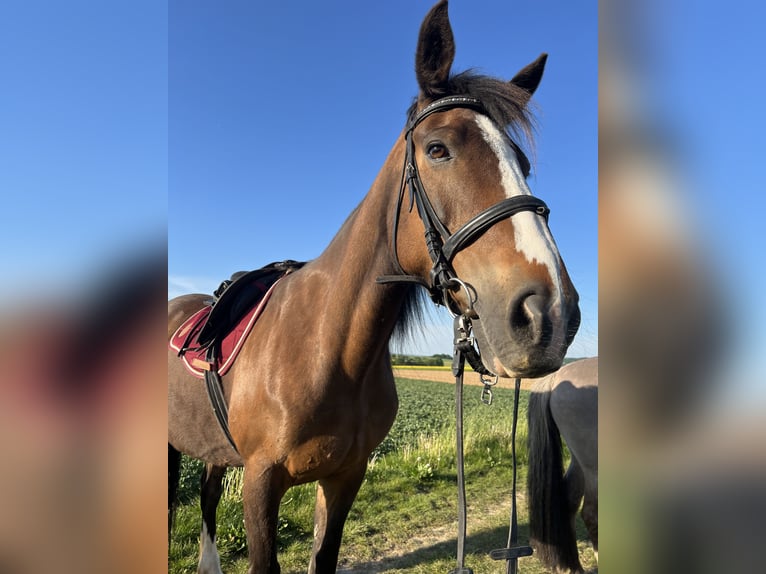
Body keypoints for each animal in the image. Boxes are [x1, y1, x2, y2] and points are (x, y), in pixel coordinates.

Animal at [168, 2, 580, 572]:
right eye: (437, 149)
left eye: (521, 162)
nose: (549, 314)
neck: (331, 345)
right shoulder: (260, 482)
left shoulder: (344, 478)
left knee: (207, 487)